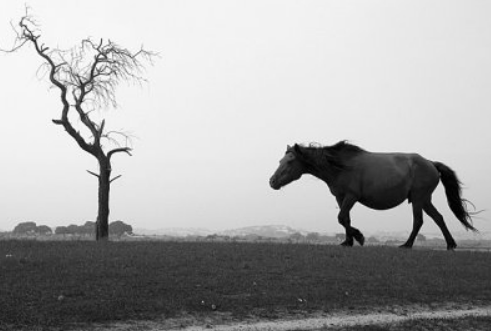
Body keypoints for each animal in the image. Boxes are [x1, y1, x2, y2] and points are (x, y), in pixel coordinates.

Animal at [268, 141, 478, 250]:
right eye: (280, 160)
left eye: (290, 161)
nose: (272, 181)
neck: (340, 165)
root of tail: (431, 163)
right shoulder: (341, 198)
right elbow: (345, 219)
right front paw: (347, 241)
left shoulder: (351, 196)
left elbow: (341, 217)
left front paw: (359, 237)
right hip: (424, 199)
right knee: (438, 218)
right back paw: (450, 244)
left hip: (418, 199)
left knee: (419, 221)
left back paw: (407, 244)